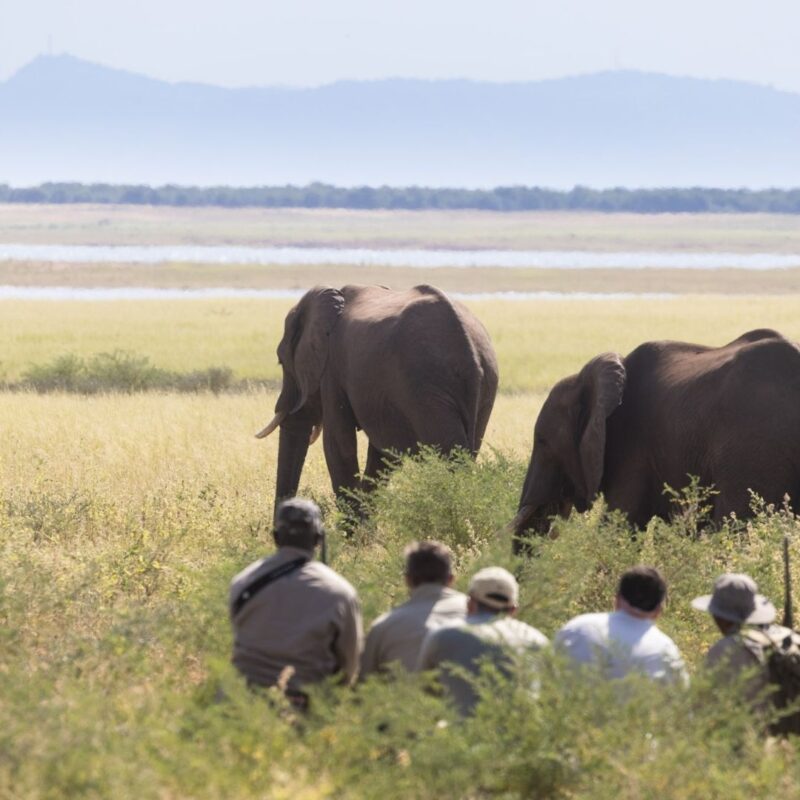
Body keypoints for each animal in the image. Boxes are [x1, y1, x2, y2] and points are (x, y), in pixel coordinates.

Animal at [256, 284, 499, 510]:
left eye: (281, 361)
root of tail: (470, 354)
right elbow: (381, 456)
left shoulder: (332, 371)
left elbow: (338, 444)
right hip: (482, 388)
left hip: (427, 388)